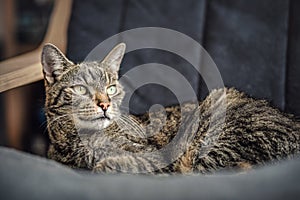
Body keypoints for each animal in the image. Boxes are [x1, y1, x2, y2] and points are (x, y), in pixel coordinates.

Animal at [42, 43, 300, 173]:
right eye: (81, 89)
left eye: (111, 88)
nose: (105, 104)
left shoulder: (155, 155)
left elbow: (132, 162)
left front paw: (106, 164)